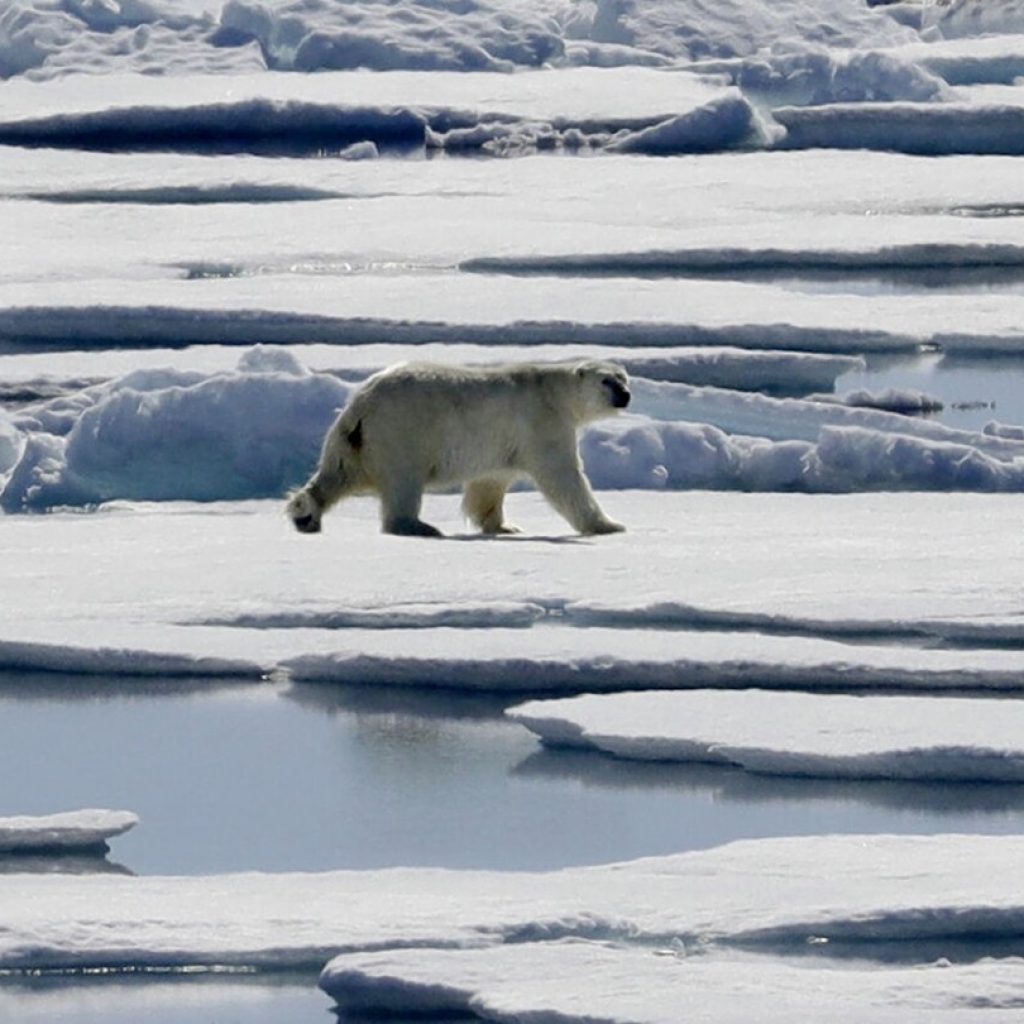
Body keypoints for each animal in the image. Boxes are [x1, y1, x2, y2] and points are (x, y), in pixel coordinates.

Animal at [284, 358, 626, 536]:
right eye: (606, 381)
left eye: (623, 377)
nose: (625, 395)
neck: (555, 391)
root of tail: (361, 404)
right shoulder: (542, 422)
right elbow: (563, 477)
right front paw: (608, 525)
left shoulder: (502, 443)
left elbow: (489, 483)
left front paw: (504, 527)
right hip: (401, 432)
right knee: (403, 482)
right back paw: (418, 526)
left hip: (352, 440)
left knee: (337, 473)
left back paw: (305, 514)